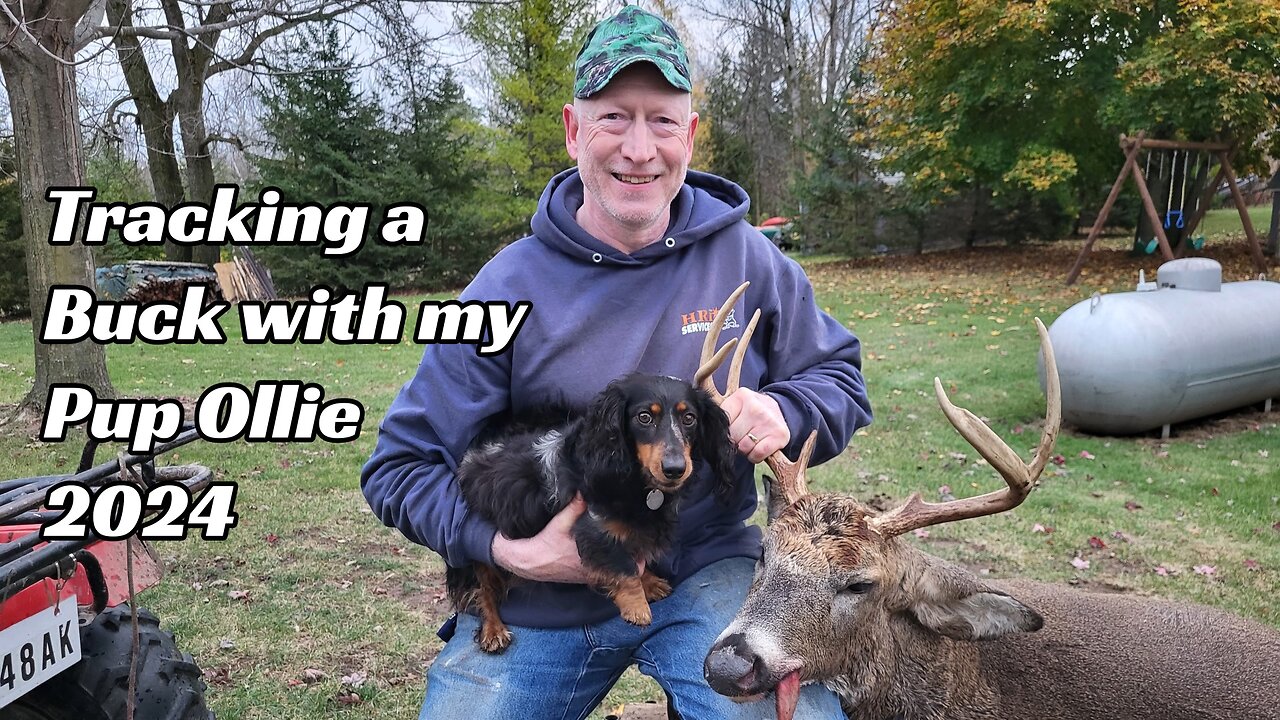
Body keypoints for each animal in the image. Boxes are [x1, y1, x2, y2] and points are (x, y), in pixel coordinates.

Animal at [445, 371, 737, 653]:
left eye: (689, 418)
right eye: (644, 417)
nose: (675, 469)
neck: (634, 480)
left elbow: (637, 556)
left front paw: (651, 582)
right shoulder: (595, 527)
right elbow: (624, 566)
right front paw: (637, 607)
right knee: (482, 588)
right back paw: (493, 630)